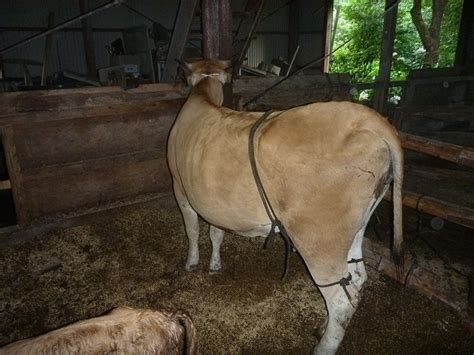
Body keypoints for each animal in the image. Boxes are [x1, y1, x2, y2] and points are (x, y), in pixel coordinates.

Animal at [168, 59, 404, 354]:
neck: (203, 95)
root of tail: (368, 120)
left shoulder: (180, 188)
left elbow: (191, 230)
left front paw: (191, 263)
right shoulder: (212, 203)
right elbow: (215, 233)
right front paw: (214, 264)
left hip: (320, 241)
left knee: (340, 299)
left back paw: (323, 347)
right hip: (356, 228)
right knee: (356, 279)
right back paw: (323, 327)